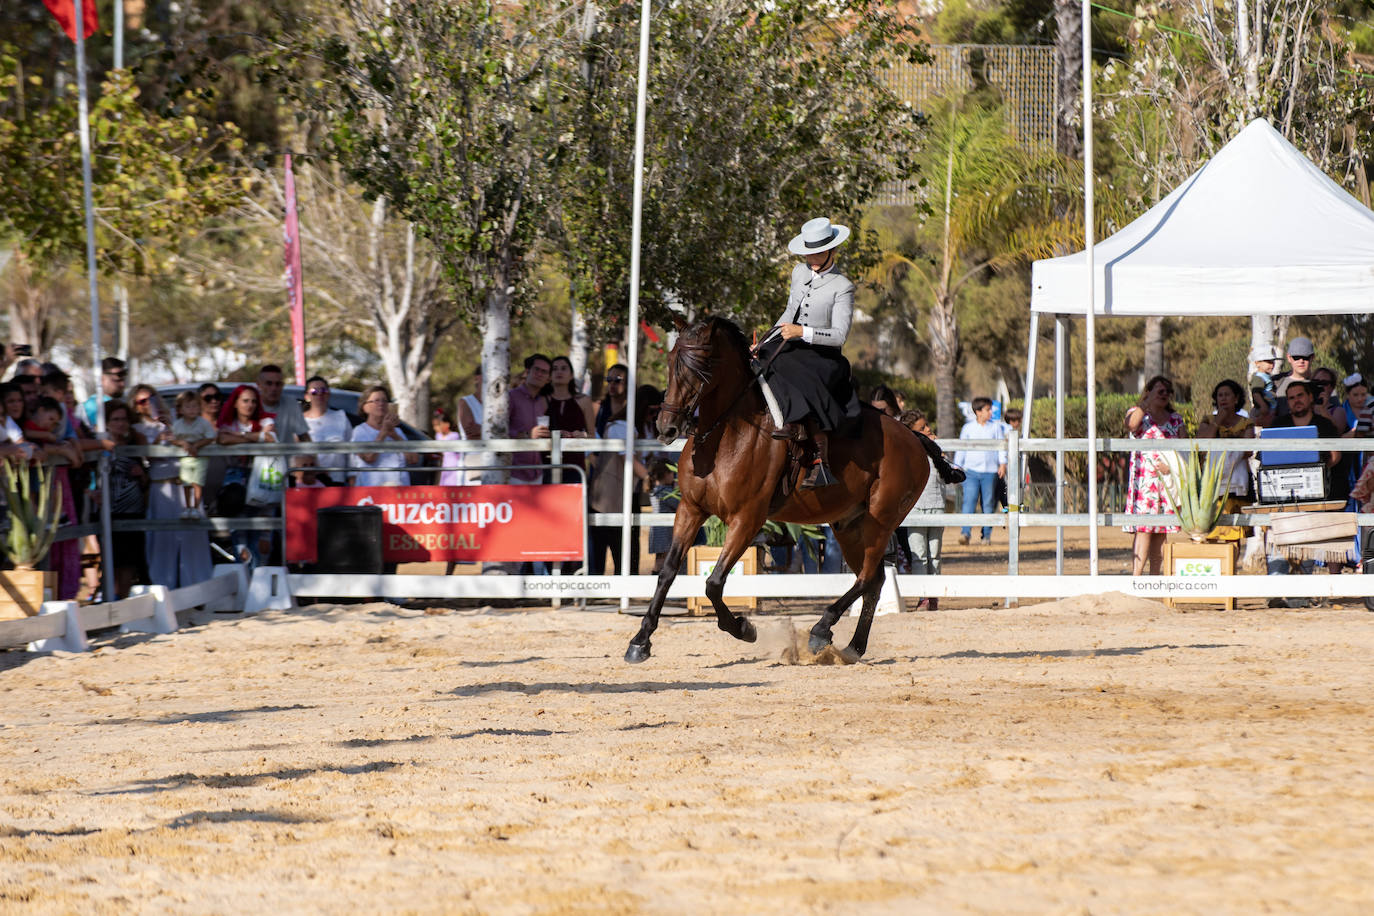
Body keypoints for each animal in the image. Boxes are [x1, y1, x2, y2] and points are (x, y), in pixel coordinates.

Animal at [629, 318, 961, 661]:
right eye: (671, 361)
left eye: (702, 367)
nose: (666, 427)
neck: (725, 436)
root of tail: (912, 436)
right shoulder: (691, 509)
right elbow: (668, 572)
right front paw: (641, 640)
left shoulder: (747, 519)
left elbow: (714, 582)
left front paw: (743, 628)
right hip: (849, 526)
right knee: (874, 580)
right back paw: (853, 647)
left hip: (880, 522)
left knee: (868, 577)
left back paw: (821, 630)